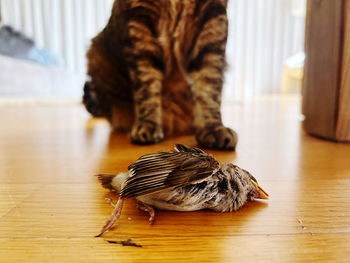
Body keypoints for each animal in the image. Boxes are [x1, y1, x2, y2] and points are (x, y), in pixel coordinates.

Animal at [82, 0, 237, 151]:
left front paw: (213, 128)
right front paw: (148, 124)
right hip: (95, 56)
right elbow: (146, 87)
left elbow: (209, 88)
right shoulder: (140, 20)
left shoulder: (213, 17)